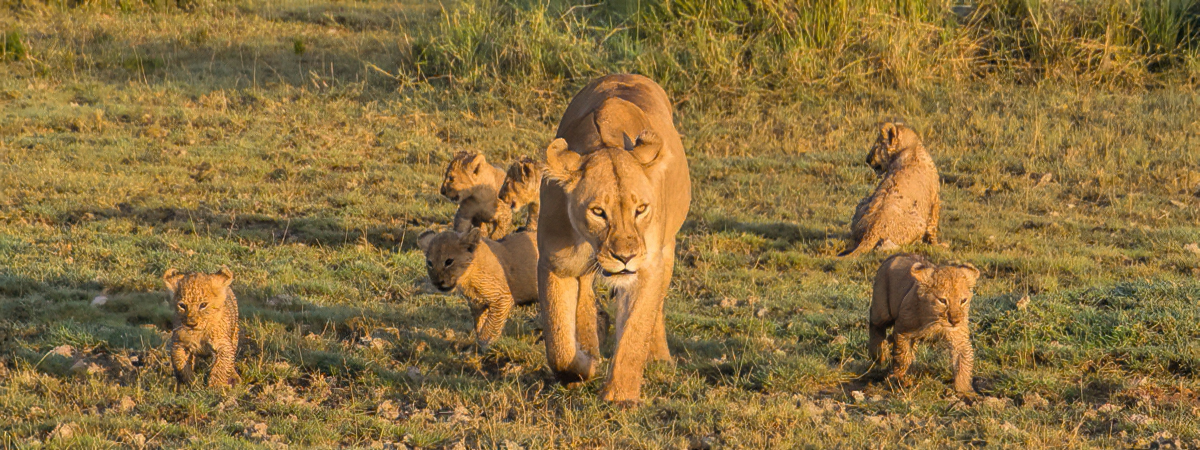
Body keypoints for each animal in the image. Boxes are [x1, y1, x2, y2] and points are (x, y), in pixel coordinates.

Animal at [540, 75, 691, 405]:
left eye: (641, 209)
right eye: (598, 212)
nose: (625, 257)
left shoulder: (648, 266)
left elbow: (635, 329)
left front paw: (620, 396)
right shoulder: (555, 263)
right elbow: (558, 342)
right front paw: (582, 366)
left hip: (667, 250)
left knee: (657, 308)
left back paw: (659, 357)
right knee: (584, 298)